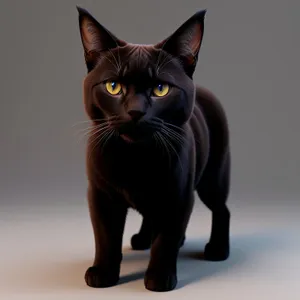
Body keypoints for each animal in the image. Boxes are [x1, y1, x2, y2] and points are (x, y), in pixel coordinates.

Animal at [76, 6, 231, 292]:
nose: (135, 111)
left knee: (221, 209)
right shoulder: (101, 194)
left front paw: (159, 278)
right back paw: (143, 239)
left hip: (214, 175)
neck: (136, 159)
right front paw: (102, 273)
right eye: (113, 86)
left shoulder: (179, 195)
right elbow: (105, 237)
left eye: (161, 89)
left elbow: (166, 239)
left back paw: (217, 250)